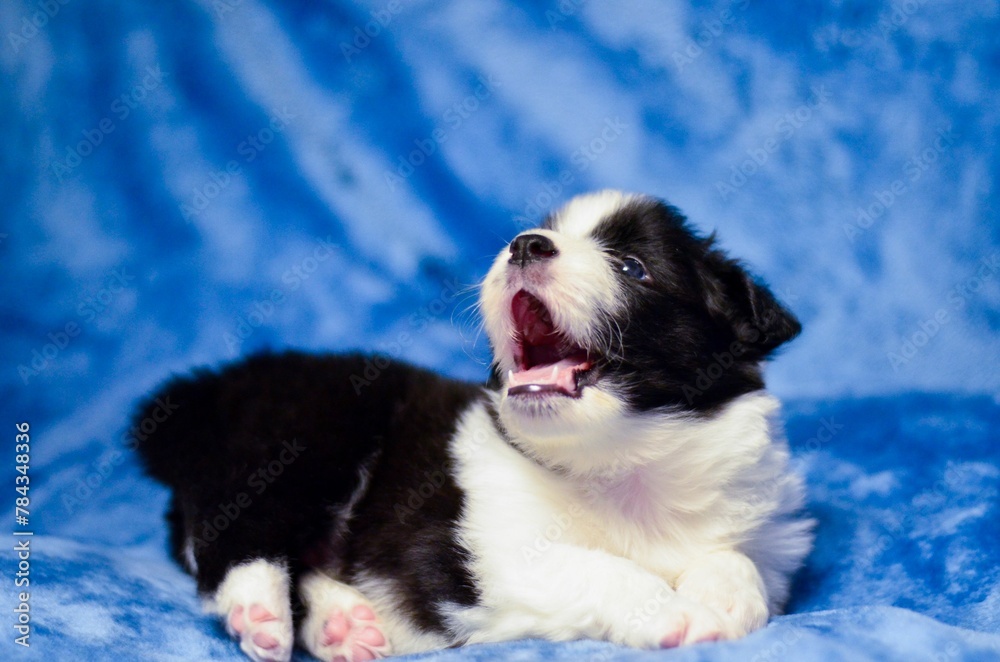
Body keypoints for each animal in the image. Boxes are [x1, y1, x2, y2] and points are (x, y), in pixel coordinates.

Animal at [133, 191, 812, 662]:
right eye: (542, 234)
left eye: (632, 267)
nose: (526, 244)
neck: (620, 462)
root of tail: (217, 387)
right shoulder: (490, 554)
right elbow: (597, 568)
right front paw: (677, 614)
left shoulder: (756, 534)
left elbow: (737, 560)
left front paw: (725, 599)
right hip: (303, 436)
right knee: (233, 530)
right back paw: (259, 609)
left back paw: (342, 626)